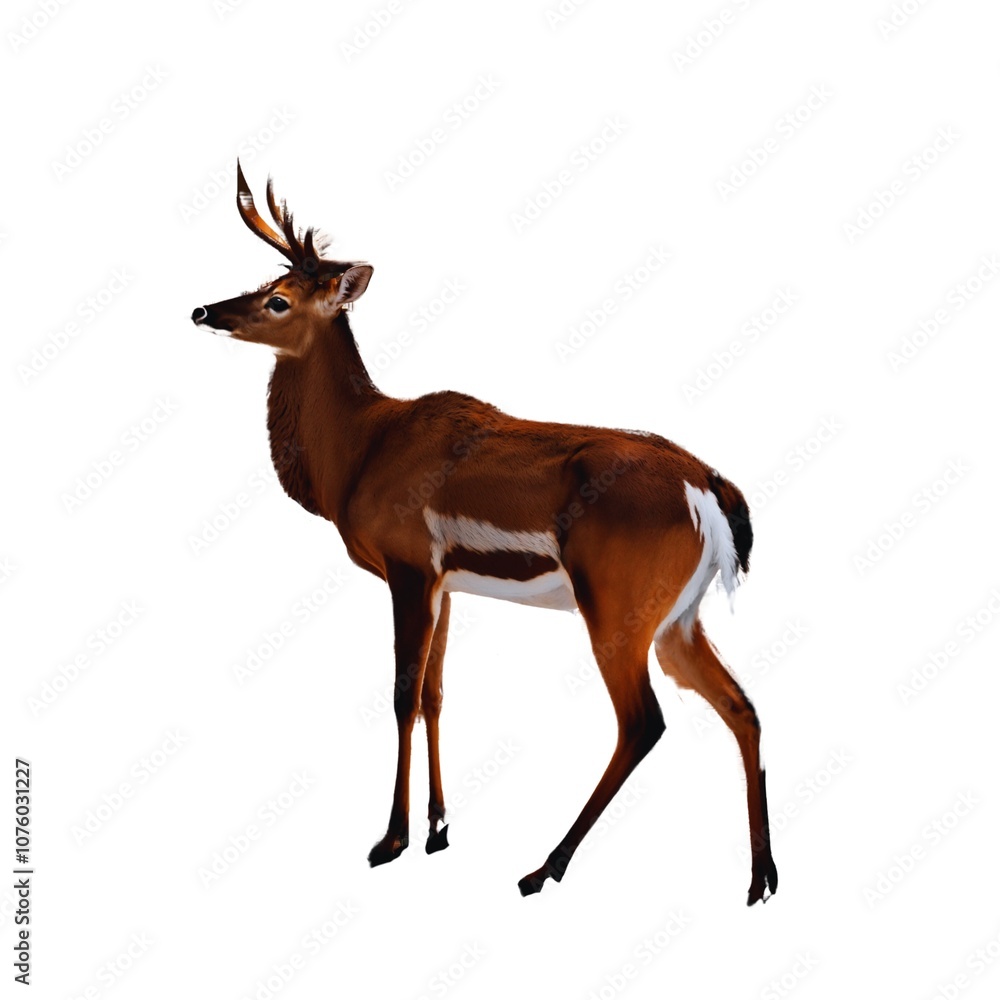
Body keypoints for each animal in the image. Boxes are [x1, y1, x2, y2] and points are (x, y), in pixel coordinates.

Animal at [190, 163, 779, 904]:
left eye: (279, 299)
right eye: (262, 283)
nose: (204, 312)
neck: (359, 449)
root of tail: (709, 485)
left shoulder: (409, 567)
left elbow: (400, 695)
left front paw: (391, 839)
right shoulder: (445, 584)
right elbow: (435, 695)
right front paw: (439, 828)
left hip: (617, 610)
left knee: (644, 720)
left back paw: (543, 867)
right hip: (680, 618)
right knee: (742, 705)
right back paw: (761, 879)